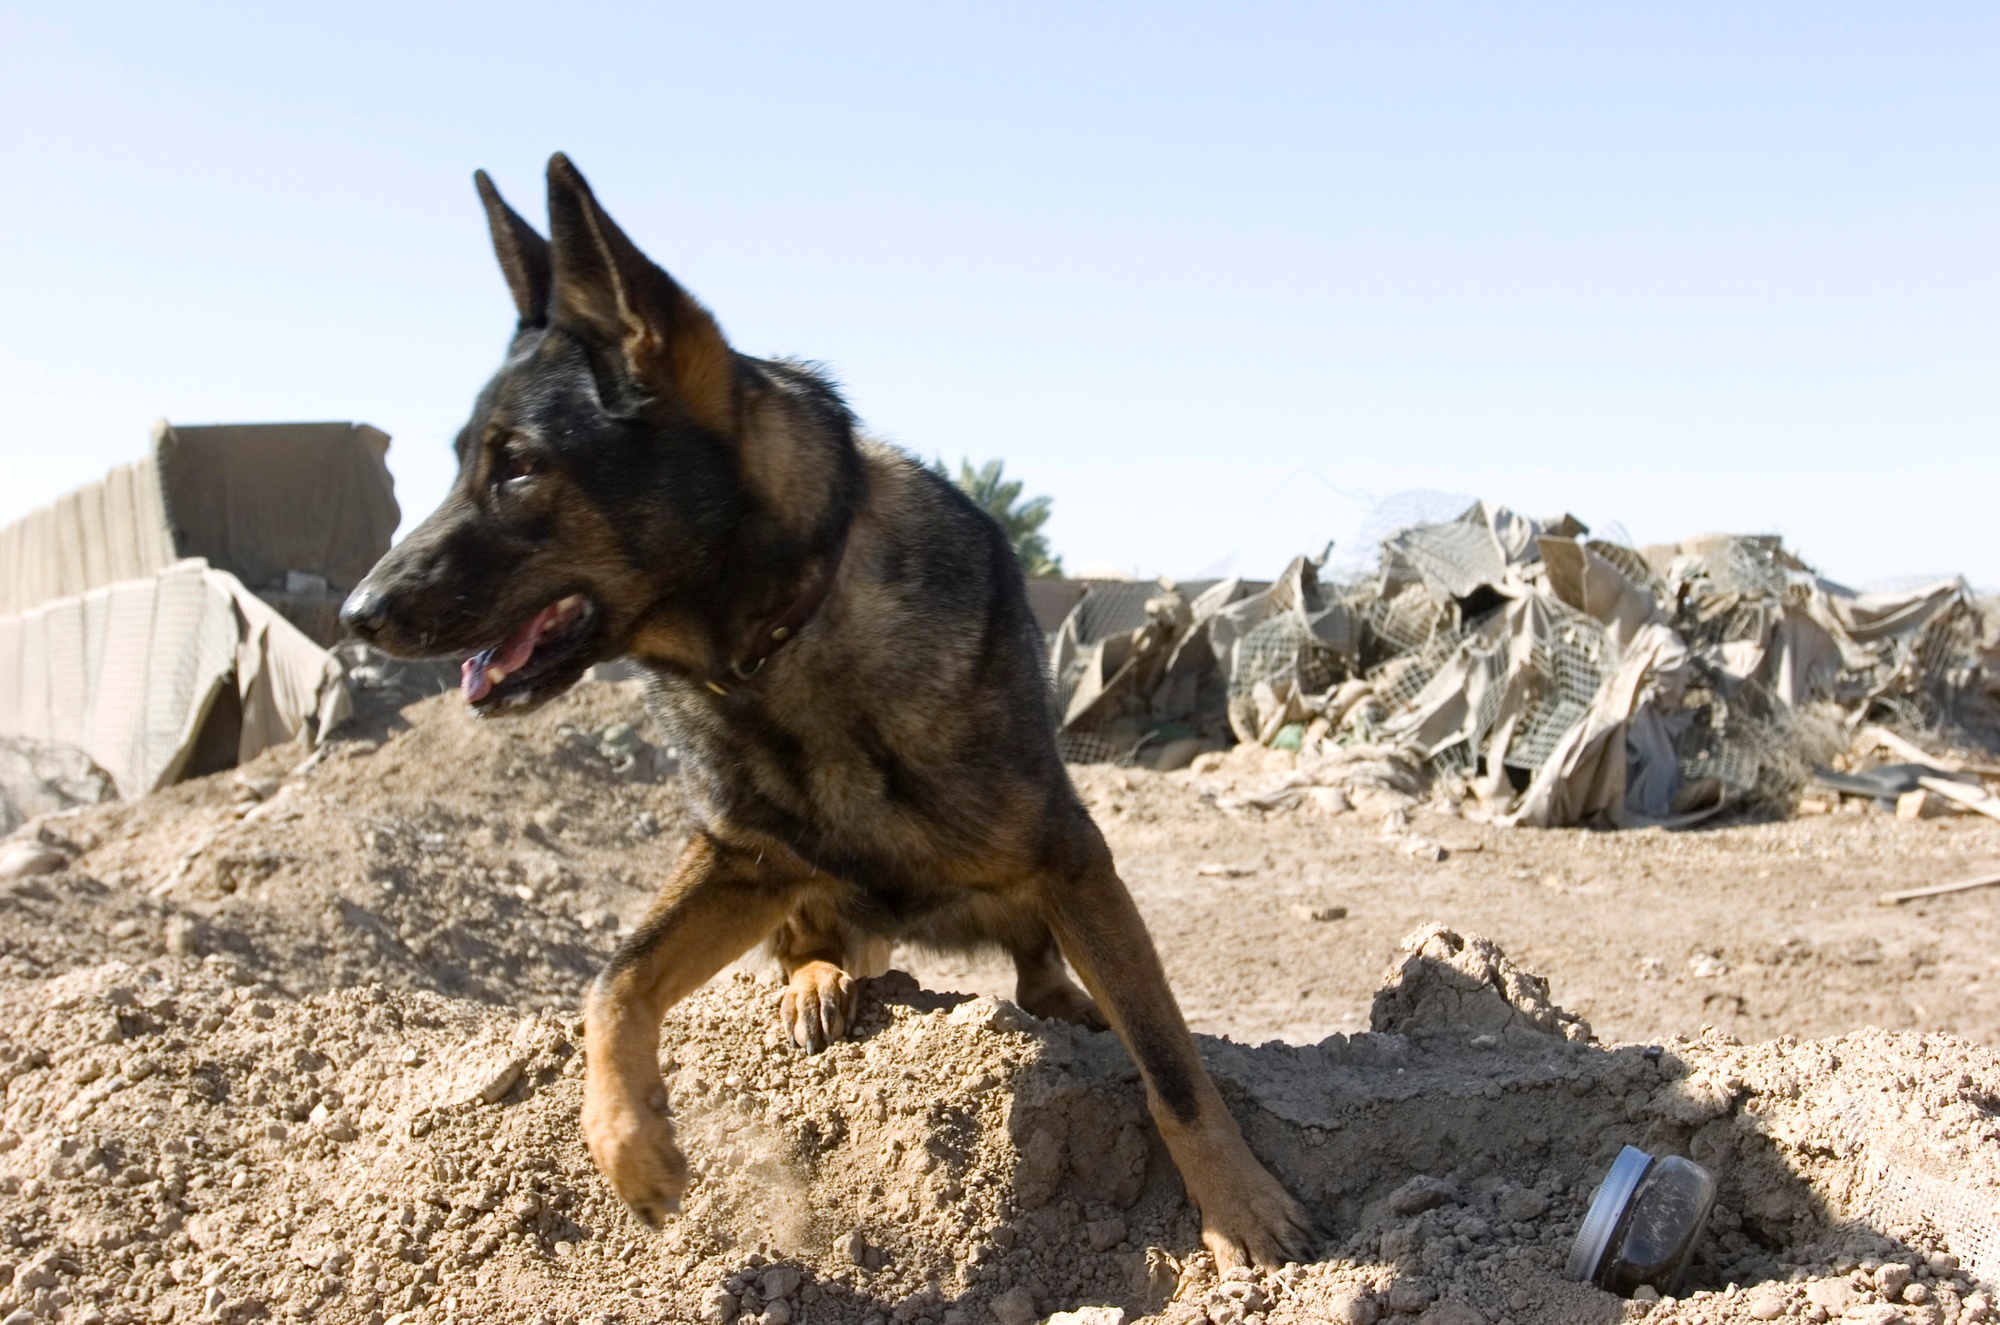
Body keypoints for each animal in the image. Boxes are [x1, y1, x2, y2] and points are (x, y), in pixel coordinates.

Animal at [344, 156, 1312, 1280]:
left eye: (519, 466)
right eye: (464, 460)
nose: (358, 612)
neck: (787, 636)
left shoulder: (1074, 858)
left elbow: (1172, 1066)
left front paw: (1241, 1205)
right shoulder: (738, 858)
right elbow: (612, 981)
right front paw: (628, 1142)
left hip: (1039, 886)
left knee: (1040, 972)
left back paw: (1067, 996)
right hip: (800, 893)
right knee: (814, 941)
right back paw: (814, 981)